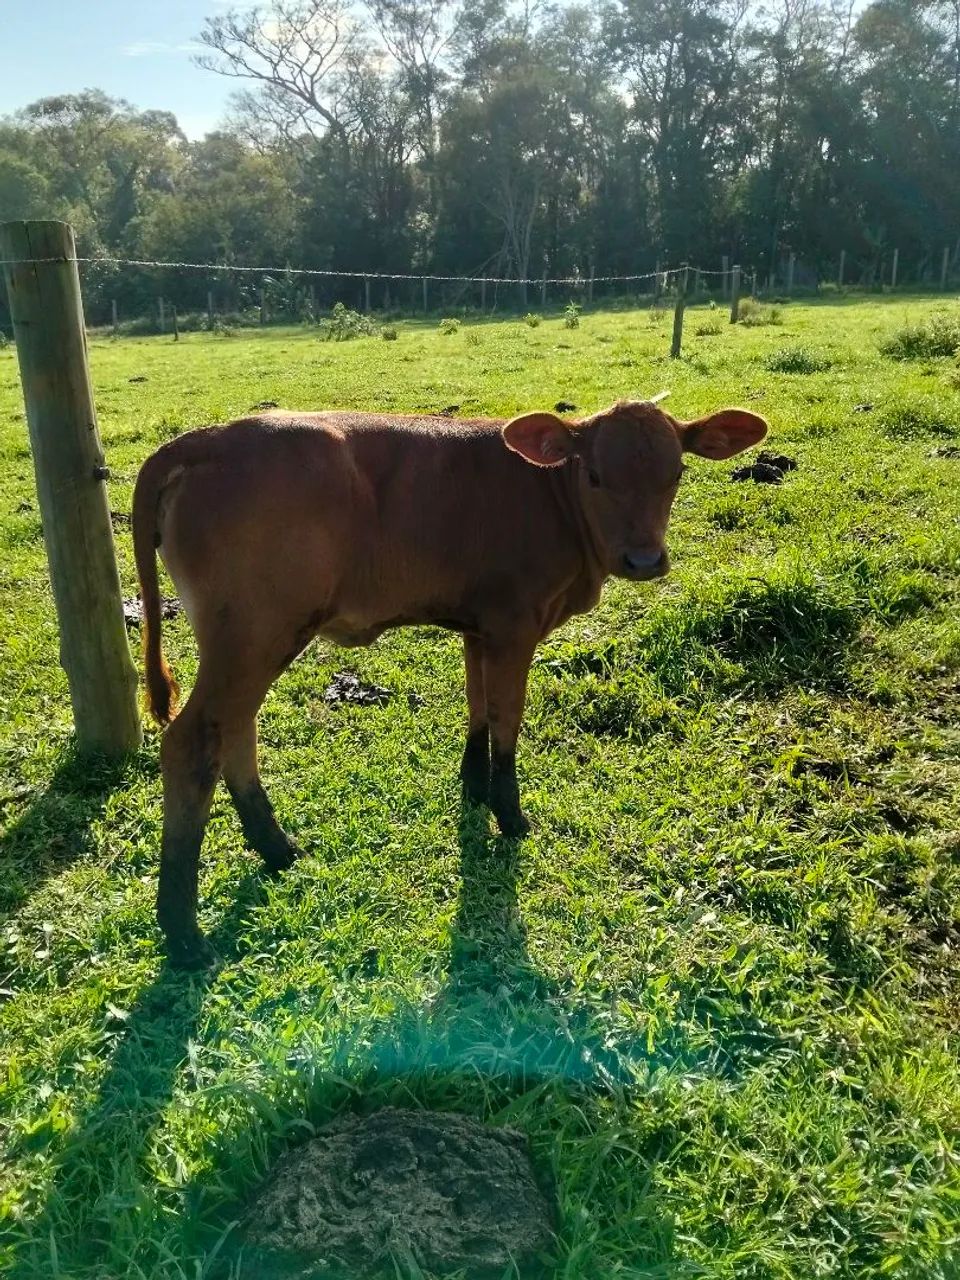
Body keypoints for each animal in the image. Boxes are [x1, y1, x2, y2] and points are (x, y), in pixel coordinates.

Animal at [132, 398, 767, 966]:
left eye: (676, 472)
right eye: (594, 474)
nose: (643, 560)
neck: (551, 500)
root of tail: (204, 438)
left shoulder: (478, 625)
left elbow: (477, 705)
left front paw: (474, 784)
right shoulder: (513, 624)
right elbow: (507, 717)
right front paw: (509, 814)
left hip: (253, 642)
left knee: (234, 730)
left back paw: (276, 849)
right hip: (254, 632)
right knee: (194, 741)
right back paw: (183, 933)